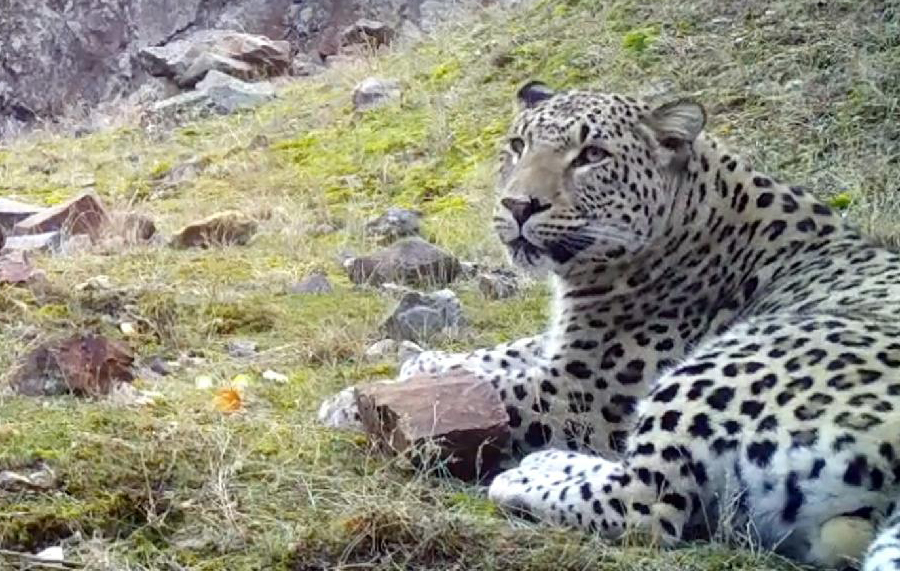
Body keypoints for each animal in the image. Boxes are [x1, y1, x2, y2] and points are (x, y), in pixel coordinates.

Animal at [320, 81, 900, 571]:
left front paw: (352, 403)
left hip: (725, 366)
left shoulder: (586, 389)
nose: (517, 204)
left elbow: (501, 386)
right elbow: (499, 354)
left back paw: (532, 470)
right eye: (517, 145)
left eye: (592, 156)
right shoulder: (566, 345)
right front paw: (420, 363)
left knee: (649, 506)